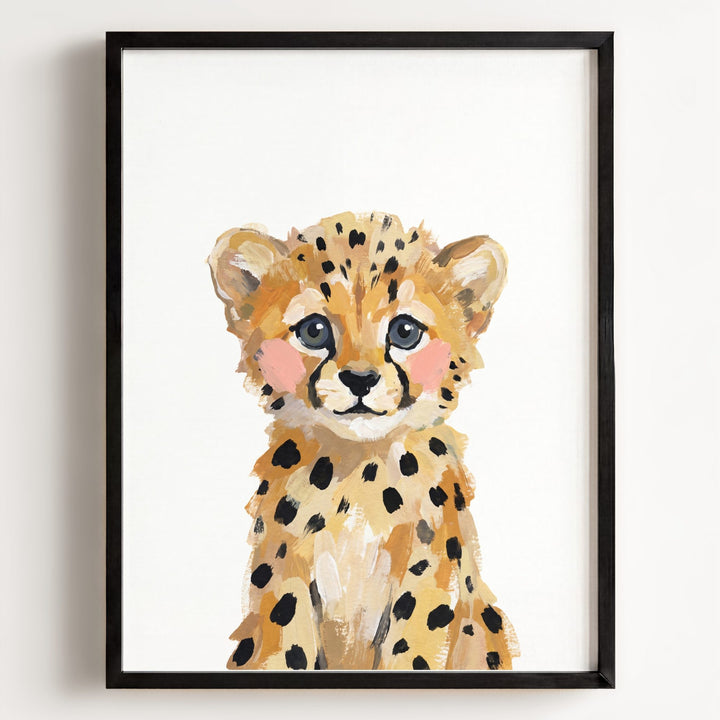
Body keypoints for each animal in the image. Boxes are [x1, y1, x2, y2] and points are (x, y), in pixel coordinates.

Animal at [208, 210, 519, 671]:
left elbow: (412, 648)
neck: (359, 470)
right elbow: (286, 640)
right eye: (314, 330)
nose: (359, 379)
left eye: (405, 331)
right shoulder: (285, 571)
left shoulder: (426, 575)